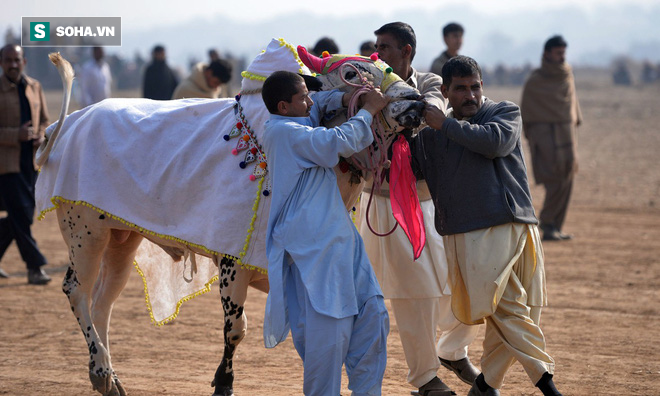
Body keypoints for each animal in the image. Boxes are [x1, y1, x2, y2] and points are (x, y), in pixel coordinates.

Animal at [36, 38, 422, 396]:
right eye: (351, 73)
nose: (417, 103)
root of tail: (68, 124)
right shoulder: (232, 263)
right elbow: (236, 330)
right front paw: (224, 382)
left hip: (121, 238)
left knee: (103, 300)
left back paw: (107, 375)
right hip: (84, 233)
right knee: (76, 290)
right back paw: (101, 369)